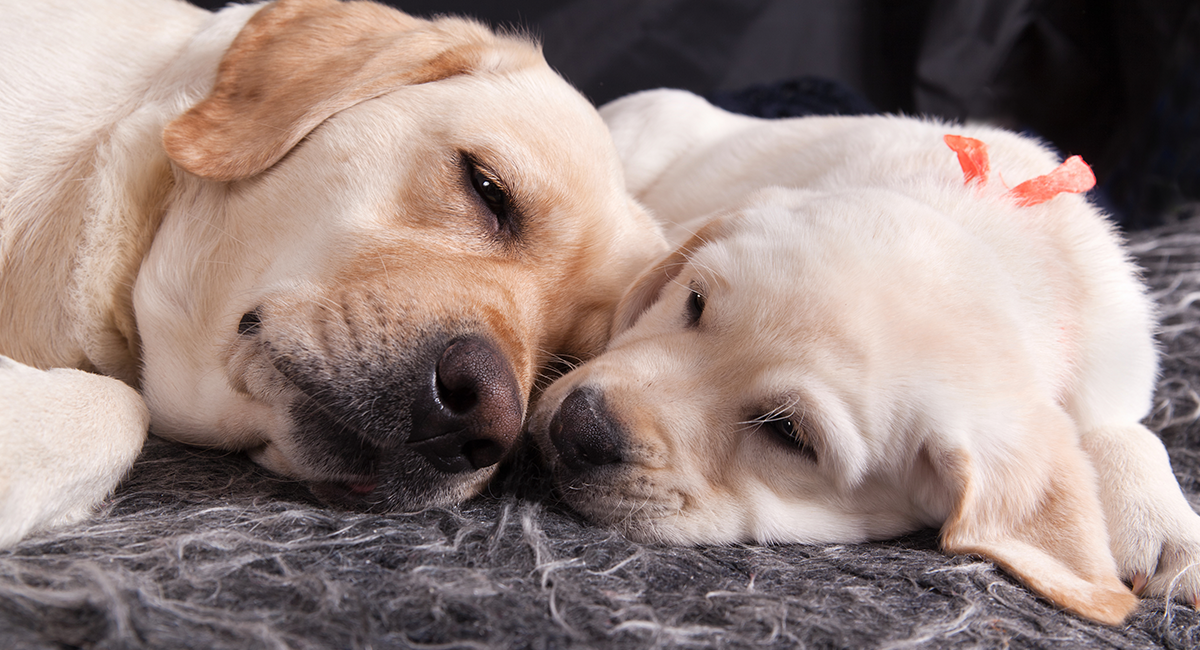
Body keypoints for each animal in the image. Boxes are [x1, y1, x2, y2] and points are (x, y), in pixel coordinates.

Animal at [535, 90, 1200, 628]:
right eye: (694, 303)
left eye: (791, 435)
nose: (578, 429)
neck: (999, 247)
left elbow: (1126, 431)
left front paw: (1170, 530)